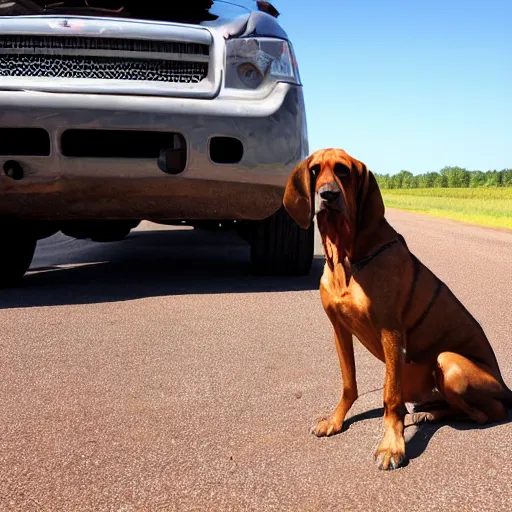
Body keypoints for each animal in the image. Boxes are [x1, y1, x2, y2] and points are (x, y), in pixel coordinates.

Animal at [284, 147, 512, 468]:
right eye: (315, 170)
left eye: (343, 171)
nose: (327, 195)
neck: (346, 258)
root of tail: (505, 386)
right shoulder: (339, 328)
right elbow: (349, 383)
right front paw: (336, 420)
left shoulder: (390, 331)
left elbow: (391, 397)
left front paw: (393, 445)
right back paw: (430, 411)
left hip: (449, 362)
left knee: (486, 413)